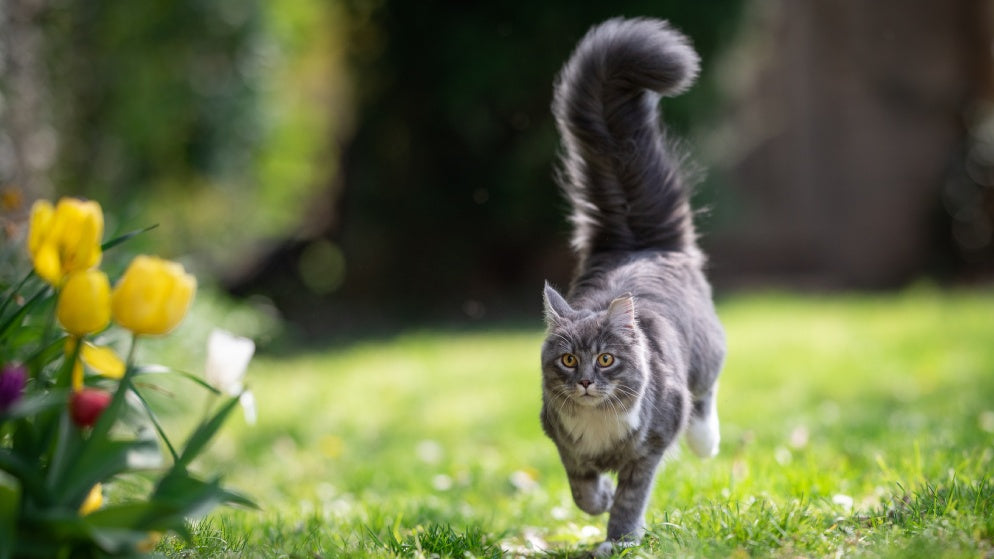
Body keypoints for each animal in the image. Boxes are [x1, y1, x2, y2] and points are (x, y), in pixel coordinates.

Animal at [540, 16, 724, 556]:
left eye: (605, 360)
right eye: (567, 360)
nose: (585, 381)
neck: (599, 422)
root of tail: (637, 243)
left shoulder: (651, 445)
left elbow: (629, 499)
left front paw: (618, 540)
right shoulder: (560, 438)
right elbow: (581, 489)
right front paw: (596, 501)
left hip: (705, 356)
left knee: (706, 396)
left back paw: (706, 442)